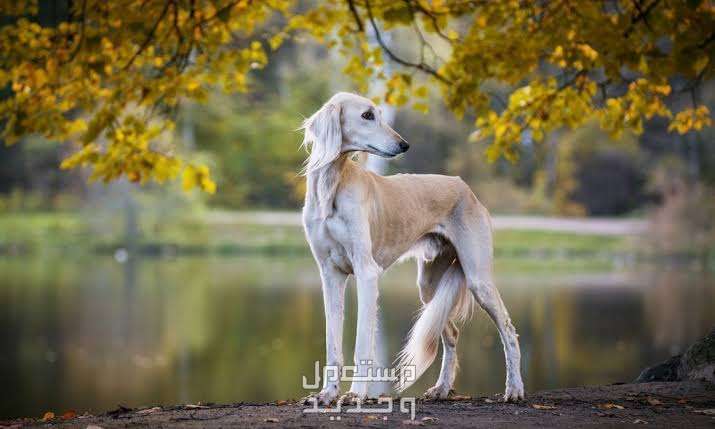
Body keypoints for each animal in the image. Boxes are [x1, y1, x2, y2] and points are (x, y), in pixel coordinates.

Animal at [302, 92, 524, 402]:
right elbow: (332, 344)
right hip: (429, 285)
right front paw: (327, 394)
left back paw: (514, 388)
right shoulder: (330, 274)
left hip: (478, 278)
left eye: (380, 114)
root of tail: (465, 187)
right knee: (452, 334)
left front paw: (356, 395)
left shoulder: (366, 272)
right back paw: (442, 387)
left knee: (508, 330)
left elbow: (362, 344)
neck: (331, 185)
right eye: (367, 115)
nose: (404, 145)